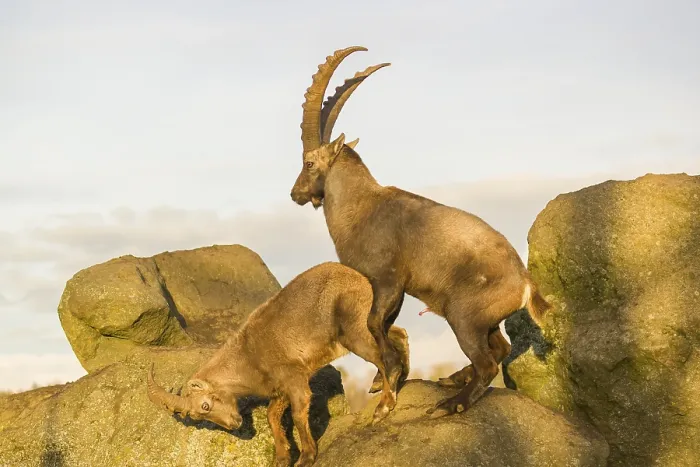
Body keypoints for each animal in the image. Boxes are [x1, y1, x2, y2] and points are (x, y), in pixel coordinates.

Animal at [147, 261, 410, 467]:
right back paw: (389, 381)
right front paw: (282, 458)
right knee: (399, 334)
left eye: (205, 405)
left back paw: (383, 407)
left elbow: (297, 414)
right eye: (197, 416)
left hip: (355, 332)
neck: (249, 357)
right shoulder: (281, 388)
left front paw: (306, 457)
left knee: (387, 358)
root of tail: (362, 280)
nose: (234, 424)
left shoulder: (294, 379)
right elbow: (272, 416)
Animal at [289, 46, 551, 419]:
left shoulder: (389, 280)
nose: (295, 194)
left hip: (462, 316)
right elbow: (383, 326)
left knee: (488, 362)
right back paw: (453, 379)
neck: (362, 206)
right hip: (484, 321)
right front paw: (381, 381)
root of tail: (525, 283)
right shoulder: (391, 289)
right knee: (499, 348)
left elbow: (374, 324)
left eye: (309, 163)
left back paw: (450, 403)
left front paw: (386, 398)